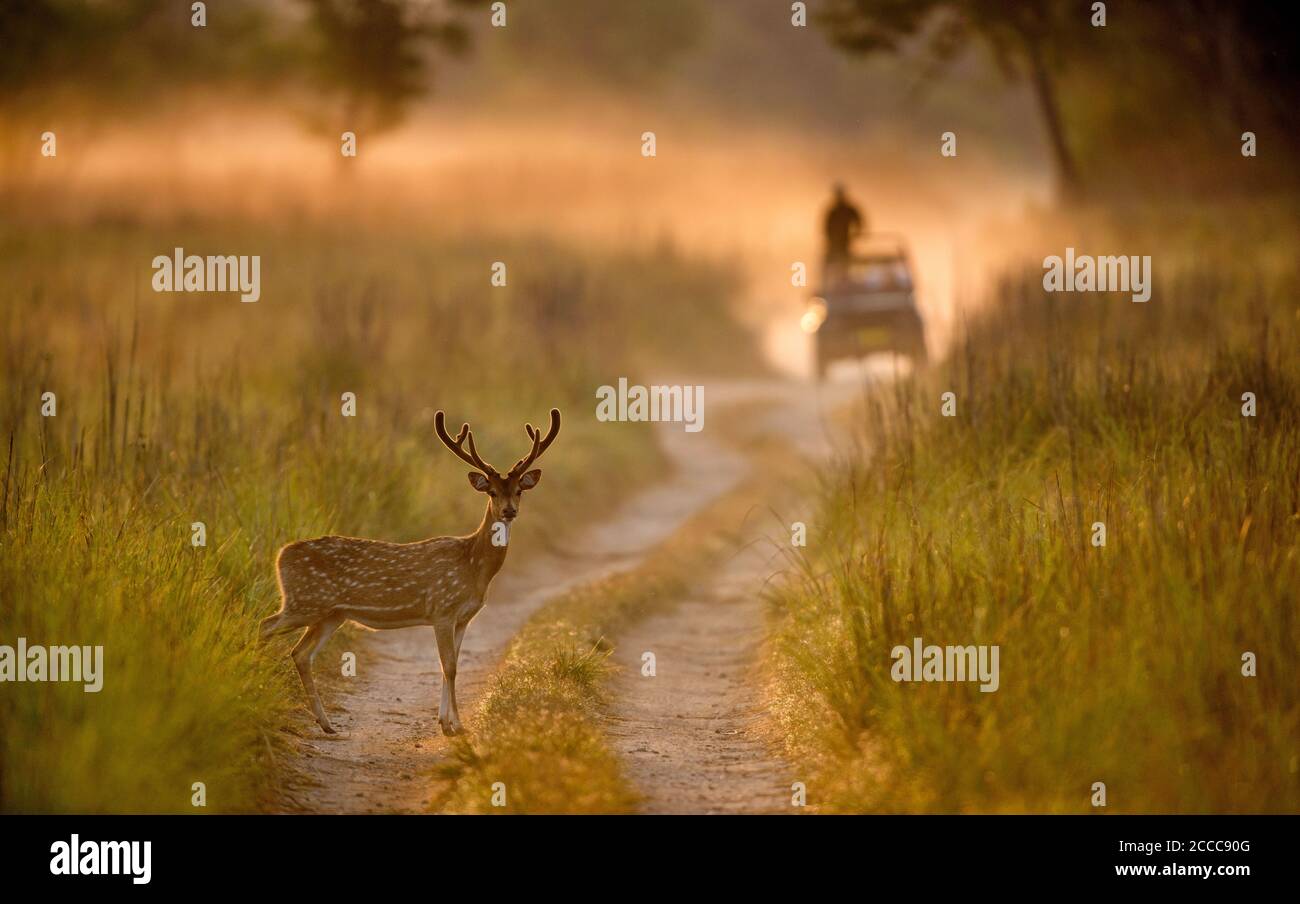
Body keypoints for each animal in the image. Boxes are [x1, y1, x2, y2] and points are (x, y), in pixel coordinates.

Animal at [259, 408, 561, 736]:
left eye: (519, 491)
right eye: (492, 492)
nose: (509, 511)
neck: (473, 566)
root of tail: (280, 555)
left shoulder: (463, 618)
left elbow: (451, 665)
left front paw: (447, 721)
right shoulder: (442, 609)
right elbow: (449, 666)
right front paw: (455, 726)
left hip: (331, 614)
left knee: (301, 654)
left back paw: (326, 724)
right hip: (304, 601)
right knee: (266, 626)